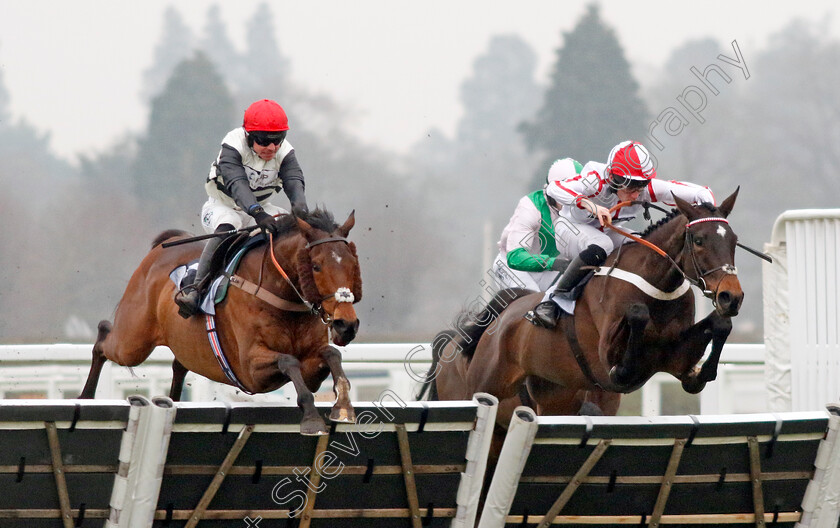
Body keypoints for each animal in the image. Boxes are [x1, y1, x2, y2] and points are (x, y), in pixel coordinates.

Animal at [79, 208, 364, 436]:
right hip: (132, 341)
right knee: (104, 339)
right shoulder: (249, 369)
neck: (280, 295)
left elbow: (331, 353)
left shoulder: (311, 365)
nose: (346, 325)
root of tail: (166, 244)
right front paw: (312, 418)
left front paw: (343, 406)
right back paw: (85, 396)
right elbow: (288, 360)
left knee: (178, 365)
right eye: (316, 266)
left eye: (353, 263)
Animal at [418, 188, 740, 426]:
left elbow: (717, 331)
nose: (731, 296)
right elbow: (636, 318)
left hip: (553, 397)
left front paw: (705, 368)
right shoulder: (607, 364)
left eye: (734, 241)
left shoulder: (674, 359)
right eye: (699, 240)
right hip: (484, 385)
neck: (657, 286)